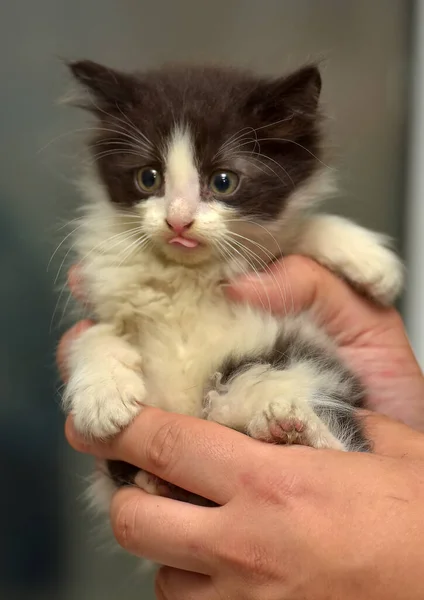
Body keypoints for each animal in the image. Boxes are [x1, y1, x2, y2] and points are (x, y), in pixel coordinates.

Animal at [63, 61, 404, 508]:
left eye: (223, 181)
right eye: (148, 178)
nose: (178, 221)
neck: (188, 272)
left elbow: (297, 230)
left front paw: (371, 260)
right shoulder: (106, 284)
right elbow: (96, 332)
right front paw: (100, 399)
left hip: (291, 363)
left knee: (341, 446)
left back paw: (294, 432)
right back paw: (158, 479)